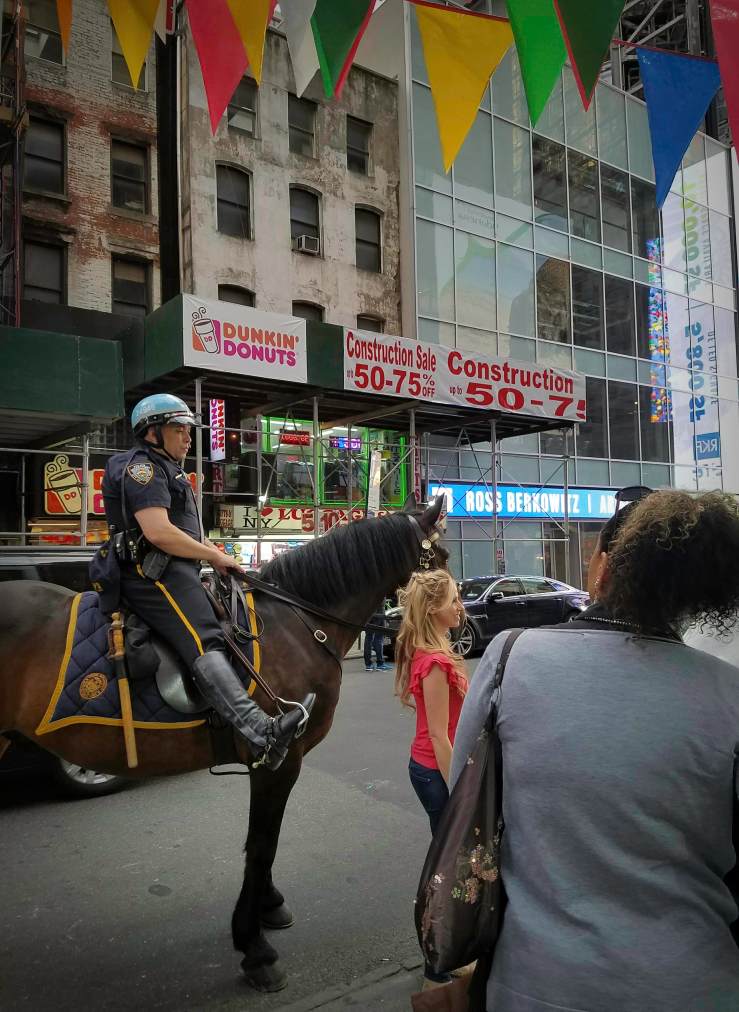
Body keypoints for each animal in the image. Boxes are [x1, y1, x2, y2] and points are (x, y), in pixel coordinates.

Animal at [0, 496, 447, 992]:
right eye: (441, 557)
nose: (462, 618)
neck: (298, 623)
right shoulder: (278, 760)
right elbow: (262, 843)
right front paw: (254, 946)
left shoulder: (274, 766)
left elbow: (264, 842)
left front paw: (268, 906)